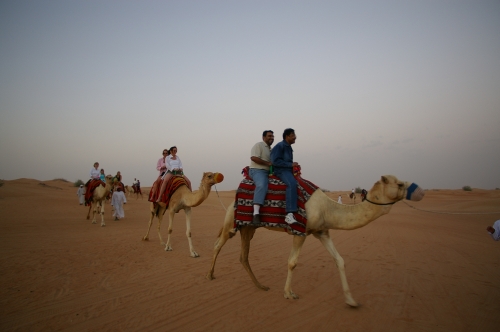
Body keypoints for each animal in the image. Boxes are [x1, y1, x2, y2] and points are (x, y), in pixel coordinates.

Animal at [205, 175, 424, 308]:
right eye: (400, 184)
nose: (421, 191)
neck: (328, 208)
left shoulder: (322, 232)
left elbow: (340, 260)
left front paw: (351, 301)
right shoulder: (300, 231)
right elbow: (292, 262)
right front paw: (289, 294)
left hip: (248, 228)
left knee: (243, 256)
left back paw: (261, 286)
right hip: (232, 223)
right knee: (217, 244)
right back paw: (209, 275)